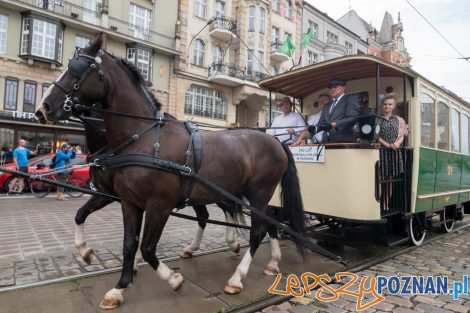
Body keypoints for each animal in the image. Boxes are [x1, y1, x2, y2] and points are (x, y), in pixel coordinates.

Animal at [36, 35, 304, 308]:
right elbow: (126, 242)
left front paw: (173, 279)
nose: (43, 108)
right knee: (264, 223)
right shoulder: (128, 202)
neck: (142, 137)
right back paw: (271, 262)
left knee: (257, 231)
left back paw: (237, 277)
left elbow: (147, 247)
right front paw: (119, 286)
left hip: (258, 193)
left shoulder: (159, 205)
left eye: (78, 70)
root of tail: (275, 140)